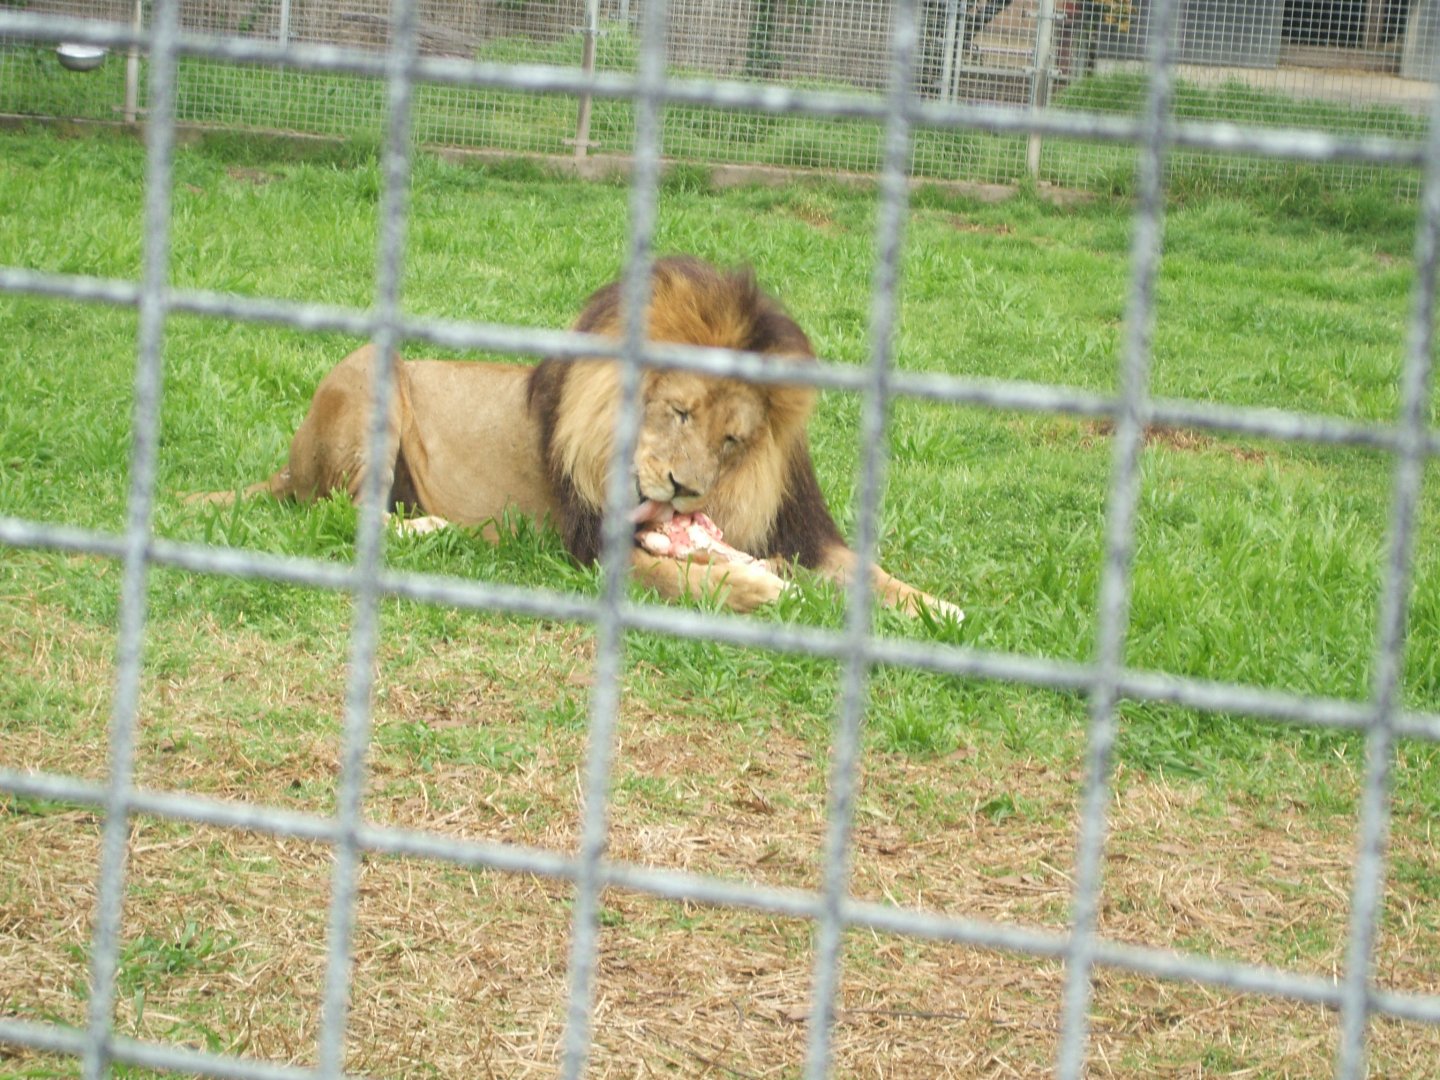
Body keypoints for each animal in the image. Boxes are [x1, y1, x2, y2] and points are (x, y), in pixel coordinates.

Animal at [194, 257, 962, 619]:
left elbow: (872, 573)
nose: (684, 491)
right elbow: (676, 577)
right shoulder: (590, 542)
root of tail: (288, 466)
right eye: (679, 412)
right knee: (343, 513)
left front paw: (943, 611)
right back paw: (437, 528)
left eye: (733, 441)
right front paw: (754, 588)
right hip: (367, 374)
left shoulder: (802, 529)